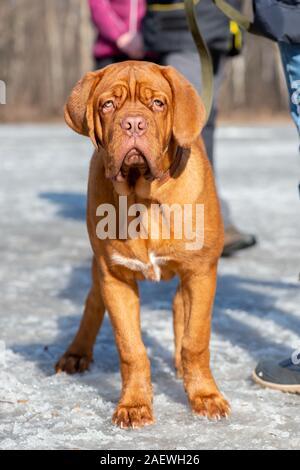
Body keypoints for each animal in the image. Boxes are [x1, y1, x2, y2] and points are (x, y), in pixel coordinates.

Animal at [55, 60, 230, 428]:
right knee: (92, 304)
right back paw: (76, 354)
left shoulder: (201, 271)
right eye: (108, 105)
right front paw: (134, 405)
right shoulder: (115, 277)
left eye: (158, 104)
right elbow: (131, 349)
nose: (133, 123)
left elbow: (196, 340)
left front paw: (205, 396)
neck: (143, 196)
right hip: (100, 271)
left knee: (180, 309)